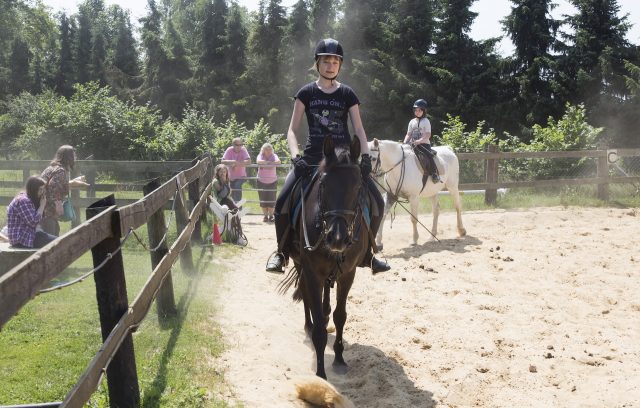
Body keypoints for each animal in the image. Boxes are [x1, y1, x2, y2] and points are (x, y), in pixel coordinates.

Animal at [278, 135, 364, 378]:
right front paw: (321, 374)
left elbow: (340, 315)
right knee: (306, 296)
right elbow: (317, 324)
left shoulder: (348, 273)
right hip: (300, 263)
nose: (338, 238)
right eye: (324, 185)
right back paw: (308, 326)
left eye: (358, 186)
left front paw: (339, 359)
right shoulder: (312, 272)